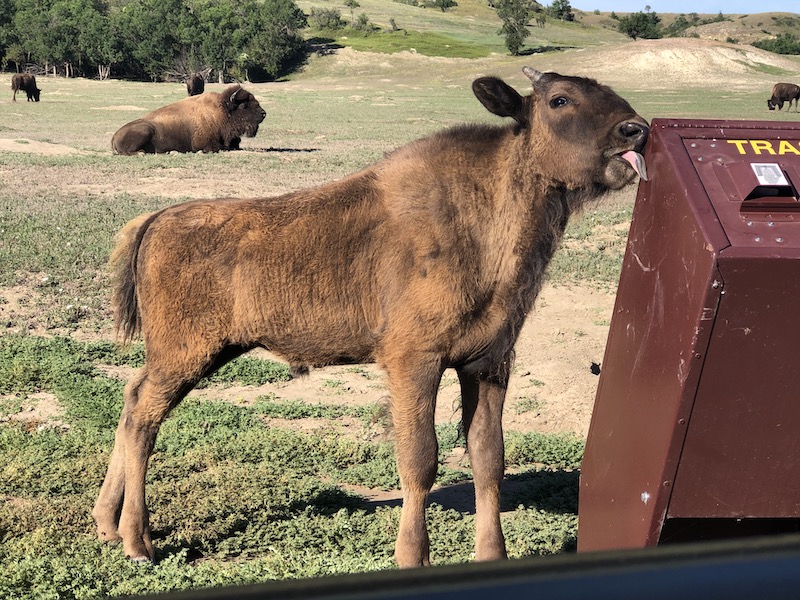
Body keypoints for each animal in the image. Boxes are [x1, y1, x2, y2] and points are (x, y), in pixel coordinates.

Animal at [111, 85, 266, 155]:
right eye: (244, 105)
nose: (263, 114)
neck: (223, 111)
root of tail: (115, 135)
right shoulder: (203, 144)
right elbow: (220, 148)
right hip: (145, 130)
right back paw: (143, 153)